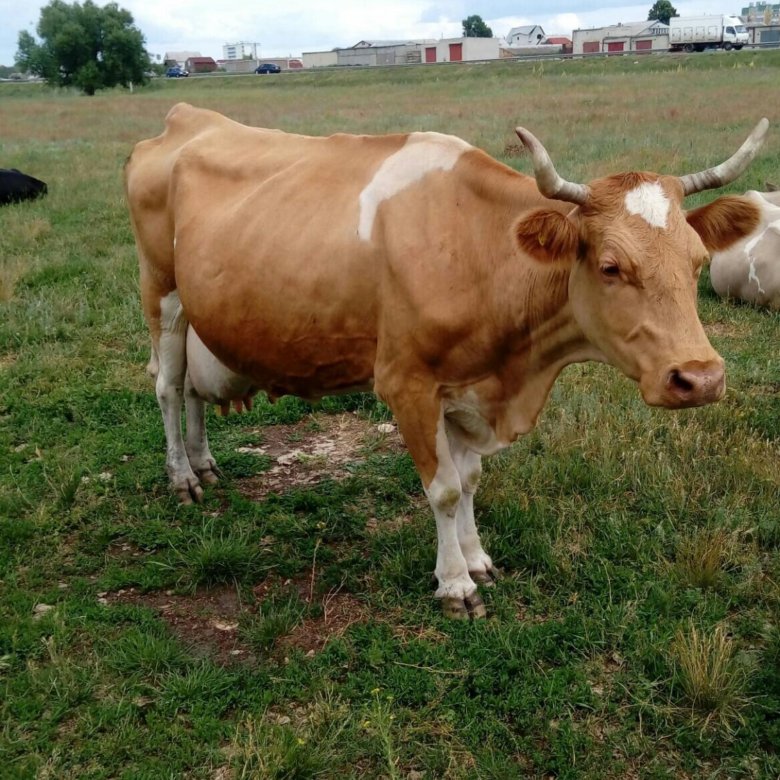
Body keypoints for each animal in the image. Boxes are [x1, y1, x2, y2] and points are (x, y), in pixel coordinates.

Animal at [125, 103, 764, 620]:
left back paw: (205, 462)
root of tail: (187, 118)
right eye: (610, 266)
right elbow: (445, 490)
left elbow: (472, 479)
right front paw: (456, 584)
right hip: (162, 292)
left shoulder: (468, 386)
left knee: (190, 390)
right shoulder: (407, 384)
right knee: (168, 387)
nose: (700, 378)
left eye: (698, 260)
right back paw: (182, 477)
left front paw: (477, 557)